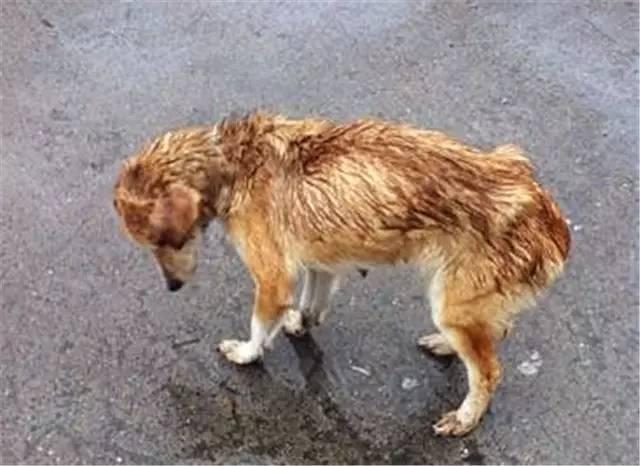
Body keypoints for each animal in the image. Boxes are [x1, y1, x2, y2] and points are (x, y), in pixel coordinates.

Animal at [114, 111, 568, 436]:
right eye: (151, 246)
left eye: (164, 242)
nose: (172, 287)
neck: (228, 160)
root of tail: (545, 213)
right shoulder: (320, 263)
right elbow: (311, 304)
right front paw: (299, 323)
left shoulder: (273, 280)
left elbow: (260, 327)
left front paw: (247, 353)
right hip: (463, 301)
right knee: (494, 334)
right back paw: (444, 346)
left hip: (454, 304)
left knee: (489, 371)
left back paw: (466, 416)